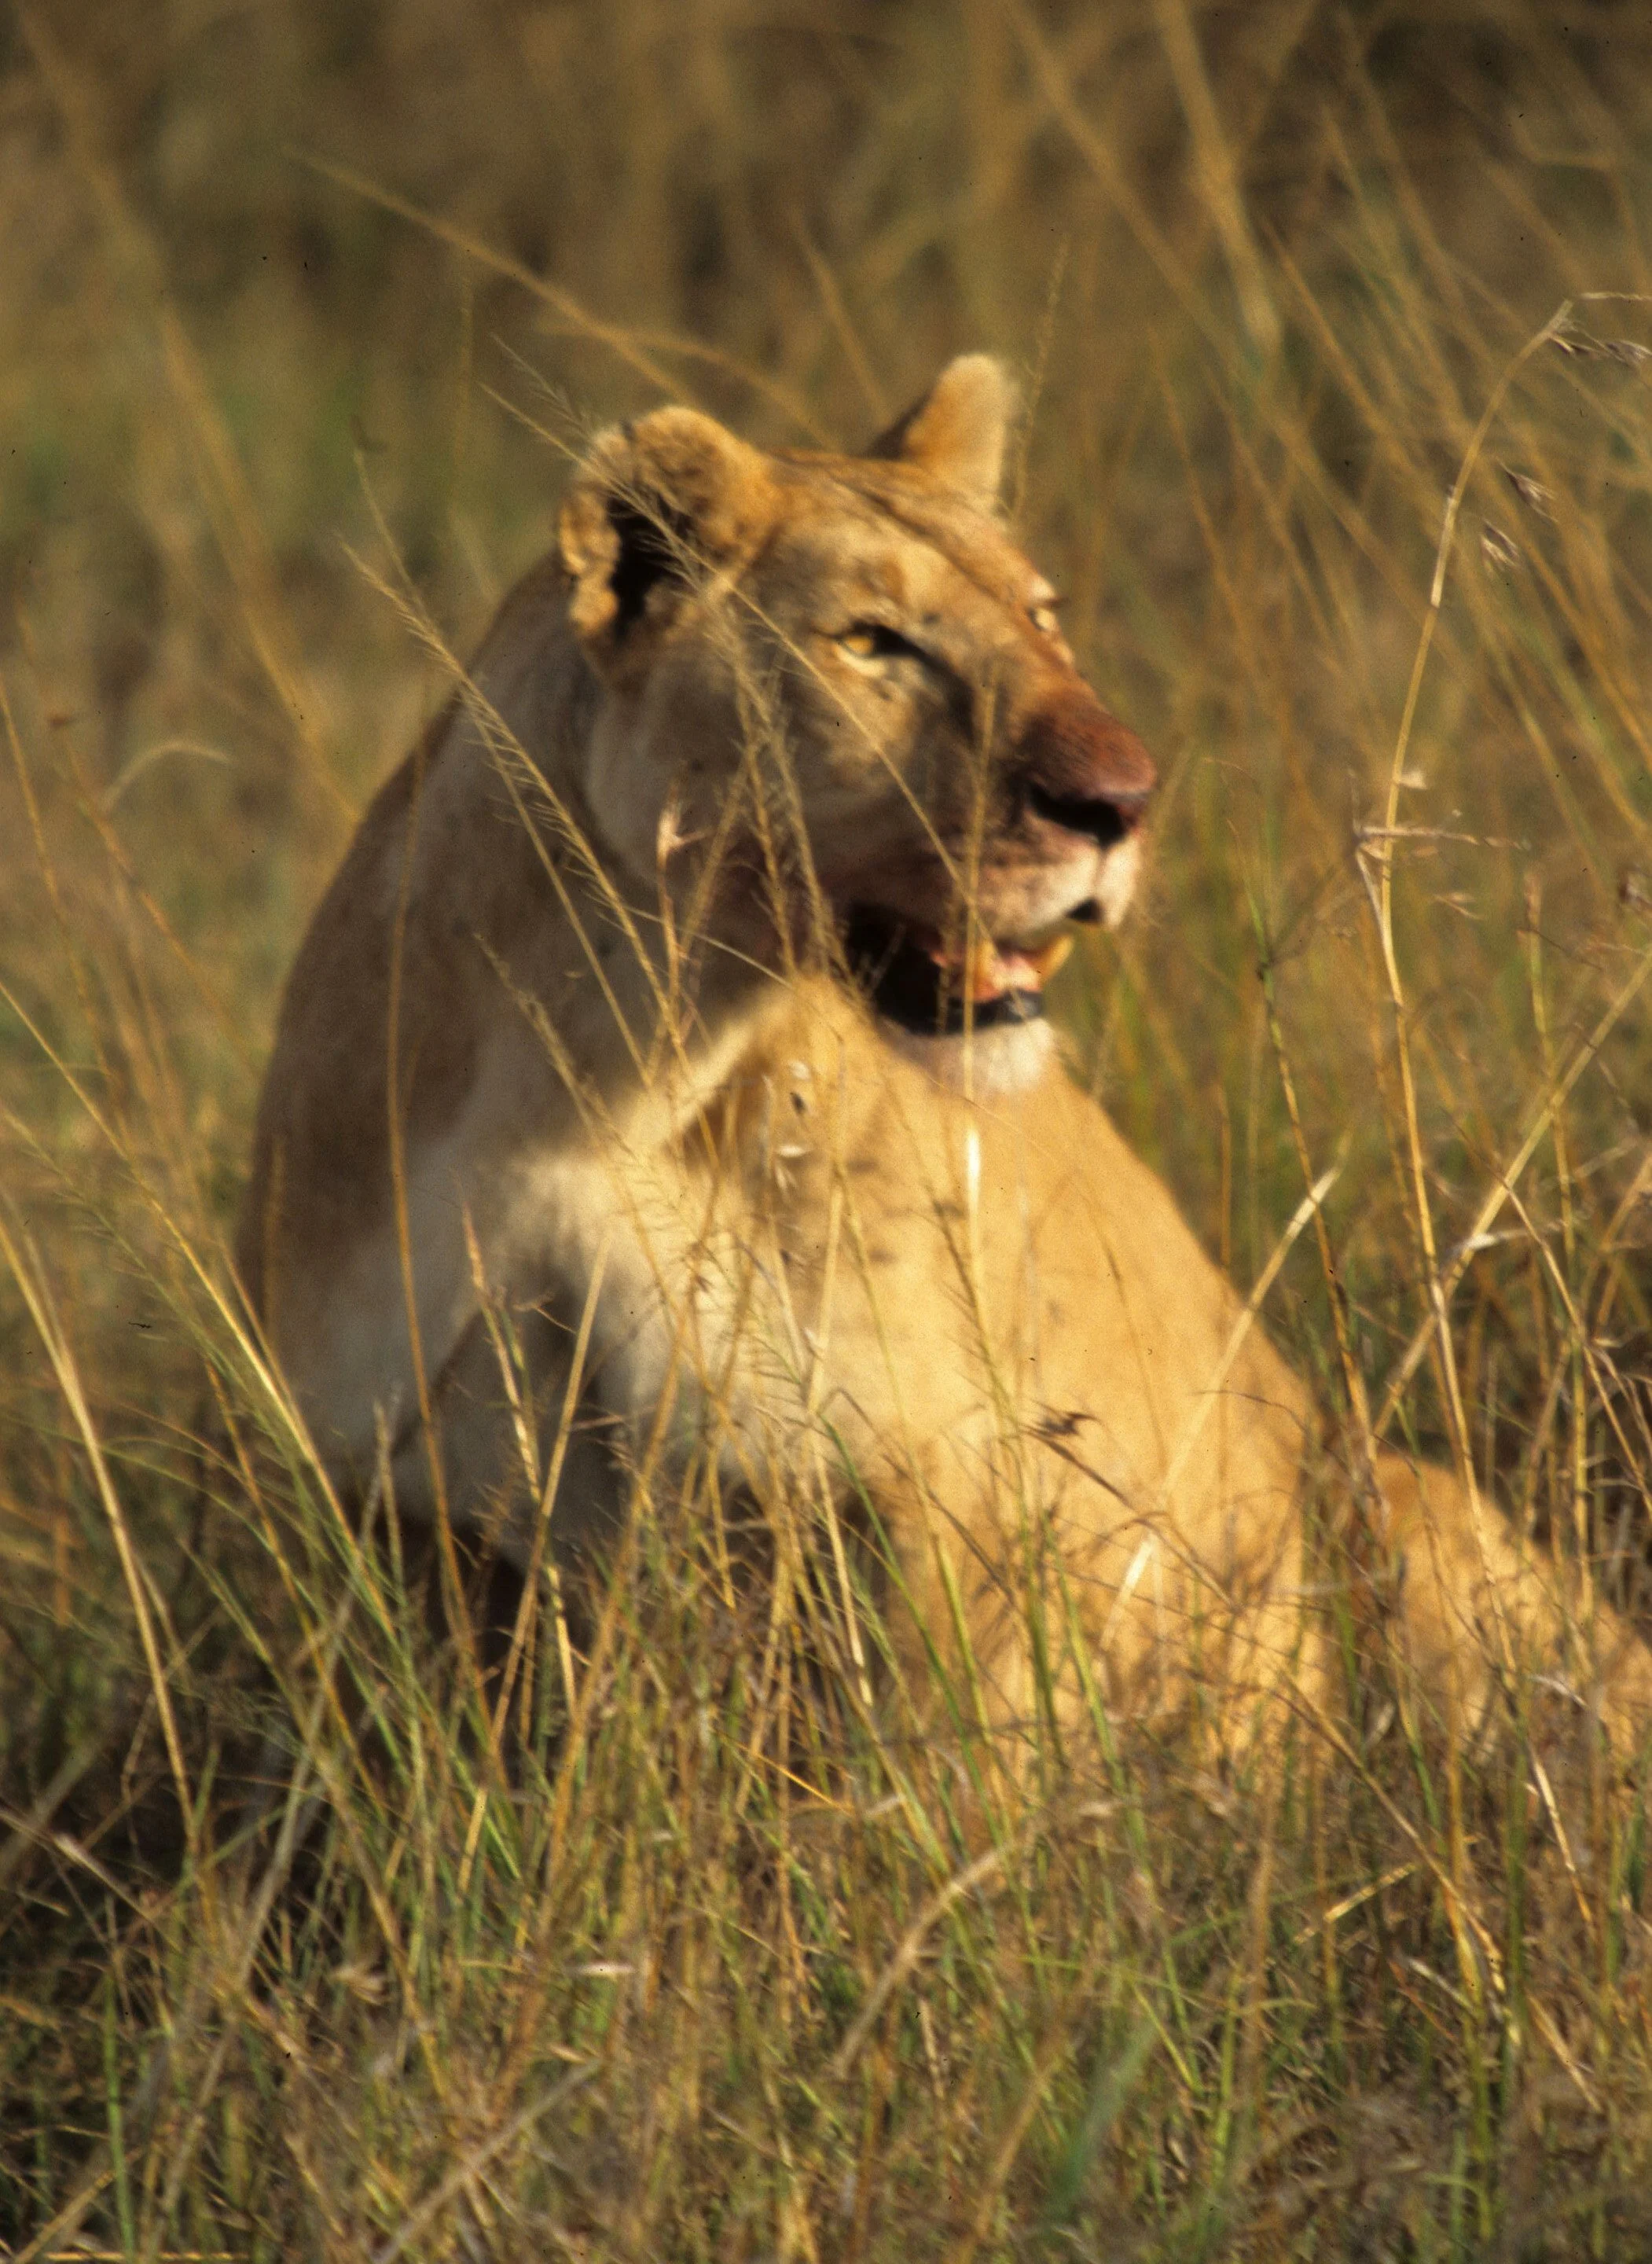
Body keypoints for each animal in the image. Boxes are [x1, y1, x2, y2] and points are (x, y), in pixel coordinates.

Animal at [238, 353, 1651, 1755]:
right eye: (872, 642)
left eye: (1041, 617)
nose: (1124, 801)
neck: (603, 1066)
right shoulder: (412, 1515)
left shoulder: (937, 1493)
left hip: (1397, 1498)